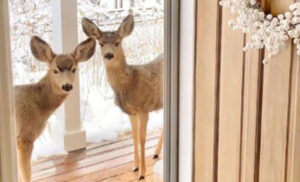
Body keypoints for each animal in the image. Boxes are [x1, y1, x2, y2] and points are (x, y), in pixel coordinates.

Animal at [14, 36, 95, 182]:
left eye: (74, 69)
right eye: (55, 70)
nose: (67, 86)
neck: (39, 106)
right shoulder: (24, 136)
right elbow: (26, 172)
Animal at [82, 14, 164, 180]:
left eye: (117, 42)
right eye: (101, 43)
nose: (108, 55)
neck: (130, 82)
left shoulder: (143, 108)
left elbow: (142, 139)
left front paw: (142, 173)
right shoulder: (131, 112)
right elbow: (134, 137)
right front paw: (135, 166)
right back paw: (156, 152)